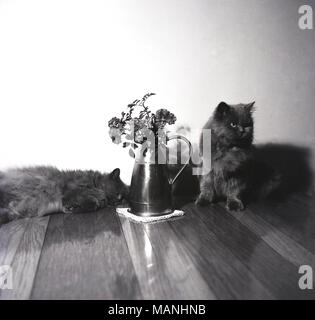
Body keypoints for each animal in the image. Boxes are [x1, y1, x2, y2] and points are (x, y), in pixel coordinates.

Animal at [0, 166, 130, 224]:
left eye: (122, 199)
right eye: (118, 194)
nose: (118, 201)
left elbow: (93, 204)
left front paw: (72, 208)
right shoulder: (71, 189)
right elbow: (92, 203)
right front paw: (71, 208)